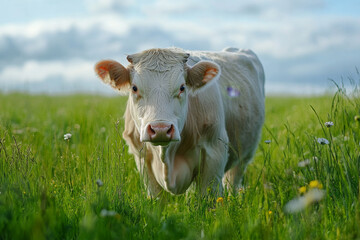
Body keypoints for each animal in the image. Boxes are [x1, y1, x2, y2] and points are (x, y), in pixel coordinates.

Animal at [95, 47, 264, 197]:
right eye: (134, 88)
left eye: (182, 87)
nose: (160, 129)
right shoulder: (141, 157)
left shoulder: (215, 153)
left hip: (243, 157)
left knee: (232, 181)